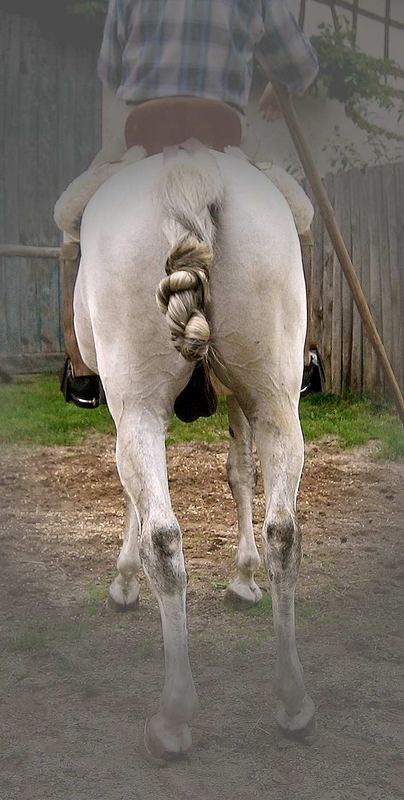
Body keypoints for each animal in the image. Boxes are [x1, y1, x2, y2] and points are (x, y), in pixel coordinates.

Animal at [75, 145, 316, 764]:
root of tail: (188, 171)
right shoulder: (241, 399)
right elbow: (241, 475)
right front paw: (244, 578)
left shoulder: (128, 407)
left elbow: (138, 503)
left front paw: (124, 583)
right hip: (275, 399)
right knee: (285, 531)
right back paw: (292, 701)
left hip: (136, 404)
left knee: (164, 536)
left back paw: (172, 719)